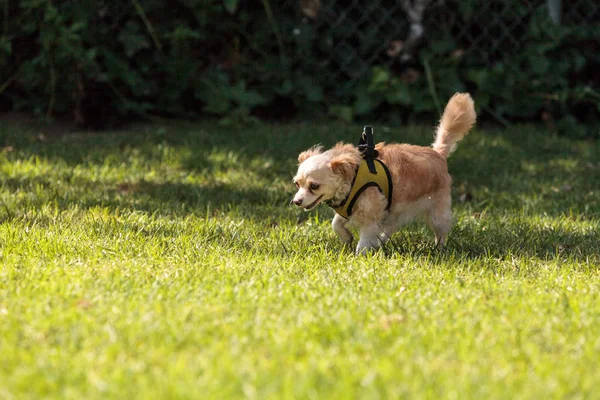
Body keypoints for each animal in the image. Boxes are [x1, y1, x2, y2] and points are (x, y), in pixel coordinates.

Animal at [292, 92, 476, 255]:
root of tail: (438, 153)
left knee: (441, 232)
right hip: (395, 212)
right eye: (297, 184)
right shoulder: (349, 209)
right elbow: (335, 223)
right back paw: (379, 242)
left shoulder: (371, 216)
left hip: (437, 212)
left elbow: (363, 241)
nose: (296, 201)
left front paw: (360, 257)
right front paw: (346, 238)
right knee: (389, 229)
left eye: (314, 186)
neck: (353, 180)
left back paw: (439, 249)